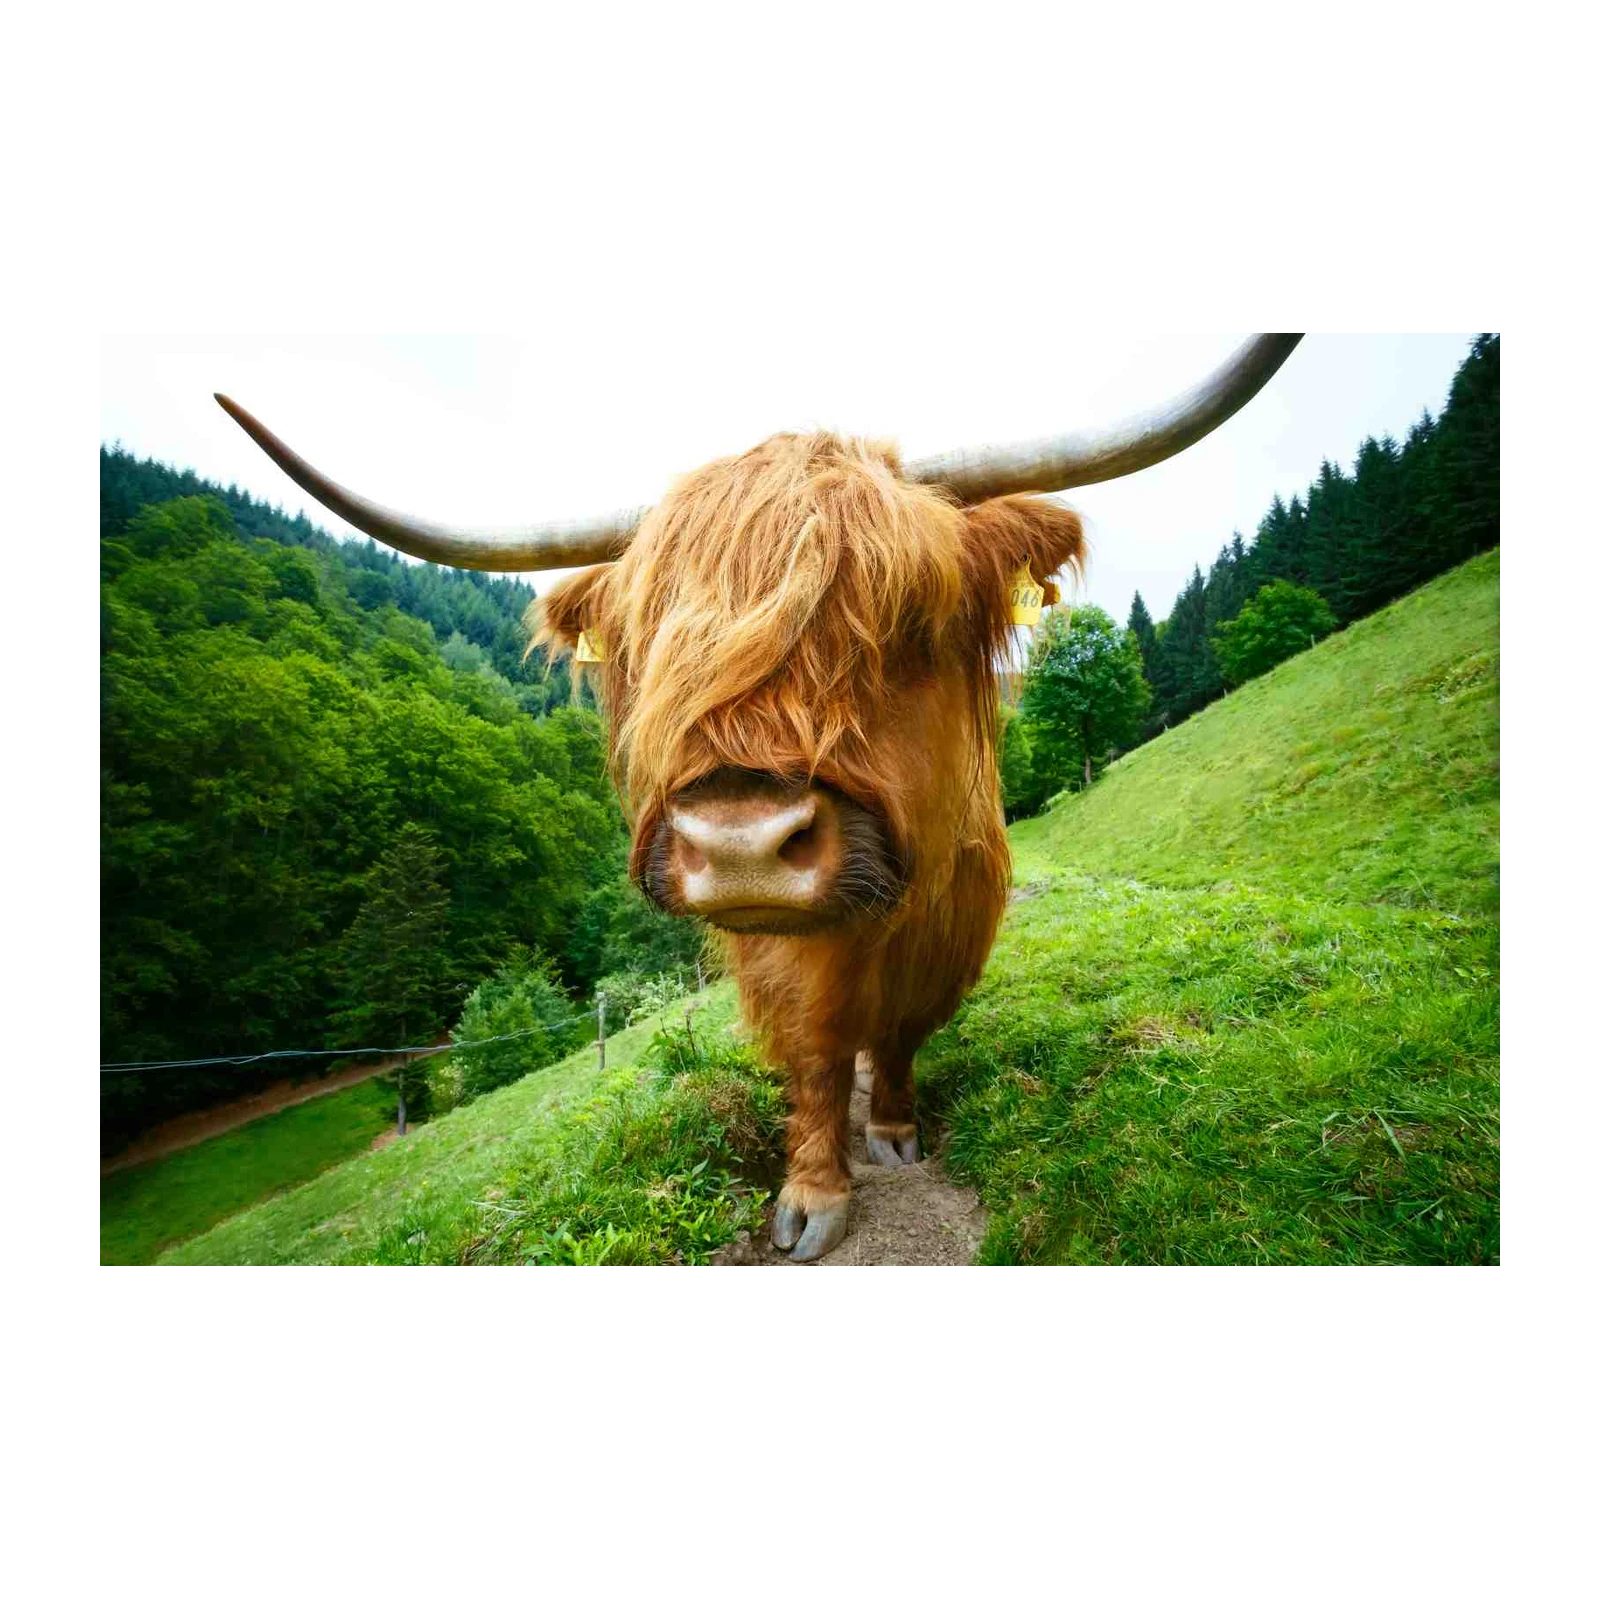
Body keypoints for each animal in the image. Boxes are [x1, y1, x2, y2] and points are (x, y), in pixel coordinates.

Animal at [217, 329, 1303, 1261]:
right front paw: (812, 1194)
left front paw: (895, 1128)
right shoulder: (783, 954)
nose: (739, 845)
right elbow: (817, 1055)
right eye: (659, 647)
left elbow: (898, 1038)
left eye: (910, 618)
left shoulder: (948, 934)